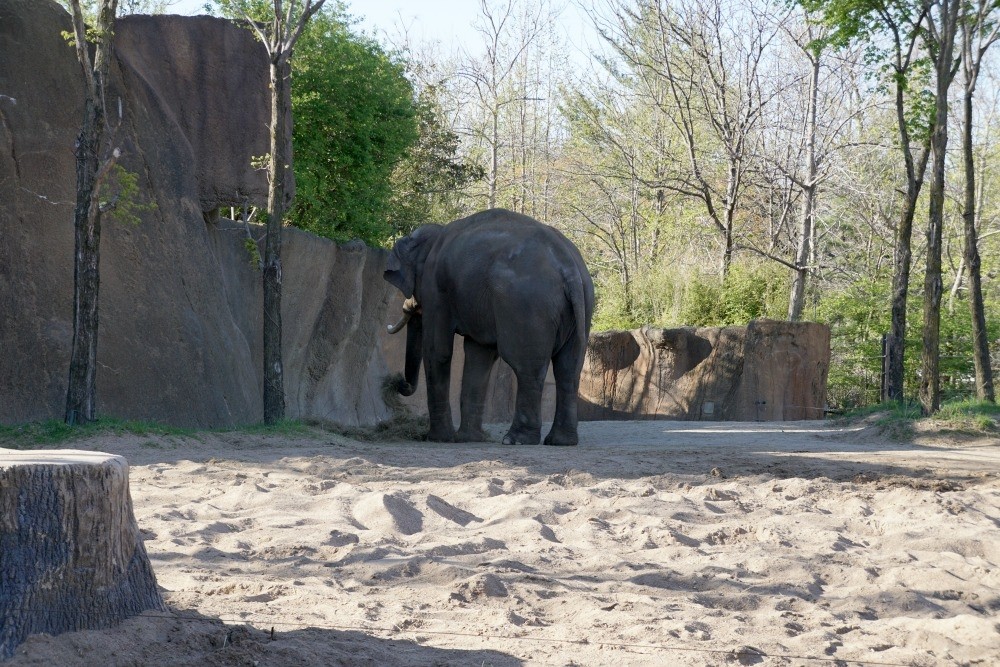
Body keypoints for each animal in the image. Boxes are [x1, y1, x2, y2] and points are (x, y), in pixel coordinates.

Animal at [384, 209, 592, 448]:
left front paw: (438, 438)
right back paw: (561, 441)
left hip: (526, 306)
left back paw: (515, 440)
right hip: (581, 306)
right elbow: (479, 356)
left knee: (527, 367)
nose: (397, 382)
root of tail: (568, 266)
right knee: (568, 369)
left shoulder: (436, 288)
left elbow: (438, 351)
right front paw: (467, 439)